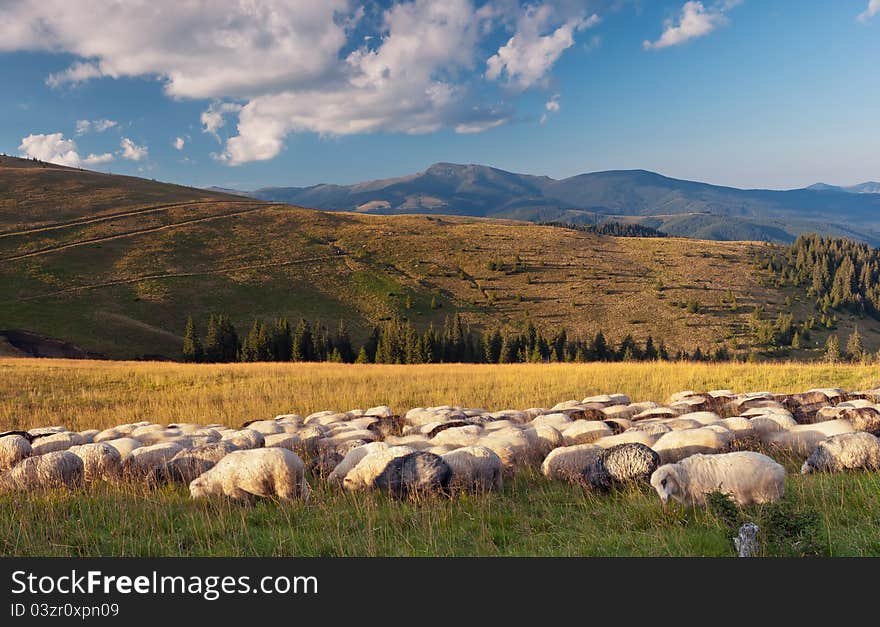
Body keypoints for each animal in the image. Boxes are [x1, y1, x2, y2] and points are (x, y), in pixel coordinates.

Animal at [648, 448, 784, 508]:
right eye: (654, 487)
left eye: (664, 481)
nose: (663, 500)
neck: (685, 475)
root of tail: (779, 467)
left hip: (768, 496)